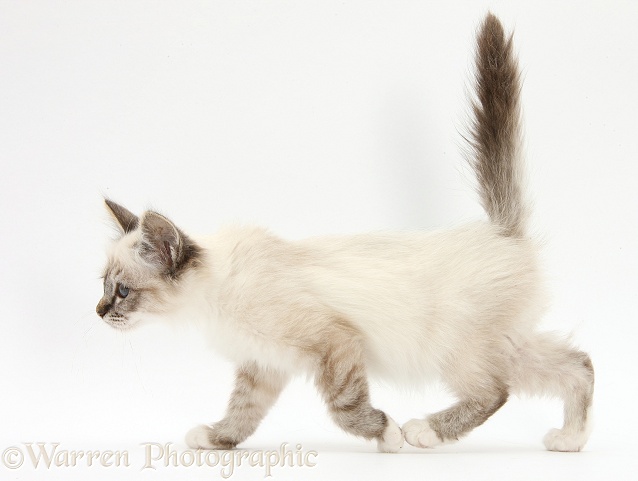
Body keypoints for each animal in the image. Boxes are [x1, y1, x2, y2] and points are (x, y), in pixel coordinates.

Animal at [97, 13, 596, 452]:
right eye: (103, 286)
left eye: (122, 291)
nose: (99, 312)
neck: (215, 294)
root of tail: (501, 232)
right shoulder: (263, 366)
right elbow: (243, 413)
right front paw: (217, 440)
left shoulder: (334, 341)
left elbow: (344, 409)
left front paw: (388, 435)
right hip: (507, 344)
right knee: (579, 364)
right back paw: (570, 440)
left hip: (456, 347)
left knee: (496, 391)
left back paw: (425, 432)